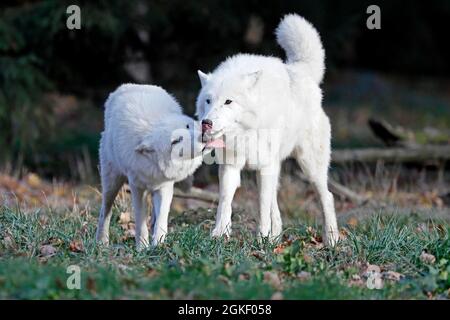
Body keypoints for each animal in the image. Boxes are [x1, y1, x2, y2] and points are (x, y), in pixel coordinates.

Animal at [97, 84, 205, 249]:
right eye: (175, 141)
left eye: (187, 126)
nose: (203, 136)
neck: (154, 165)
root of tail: (128, 85)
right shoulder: (136, 188)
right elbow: (140, 222)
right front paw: (142, 247)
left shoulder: (165, 187)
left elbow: (161, 219)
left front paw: (158, 245)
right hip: (112, 182)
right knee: (105, 210)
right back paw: (101, 241)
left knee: (154, 216)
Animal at [195, 13, 340, 245]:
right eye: (208, 101)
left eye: (228, 101)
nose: (206, 122)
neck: (244, 133)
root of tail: (300, 70)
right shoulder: (230, 167)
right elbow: (225, 201)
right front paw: (219, 234)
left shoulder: (264, 167)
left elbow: (261, 206)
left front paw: (260, 239)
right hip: (273, 167)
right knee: (275, 202)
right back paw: (276, 237)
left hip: (308, 166)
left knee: (327, 196)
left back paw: (331, 238)